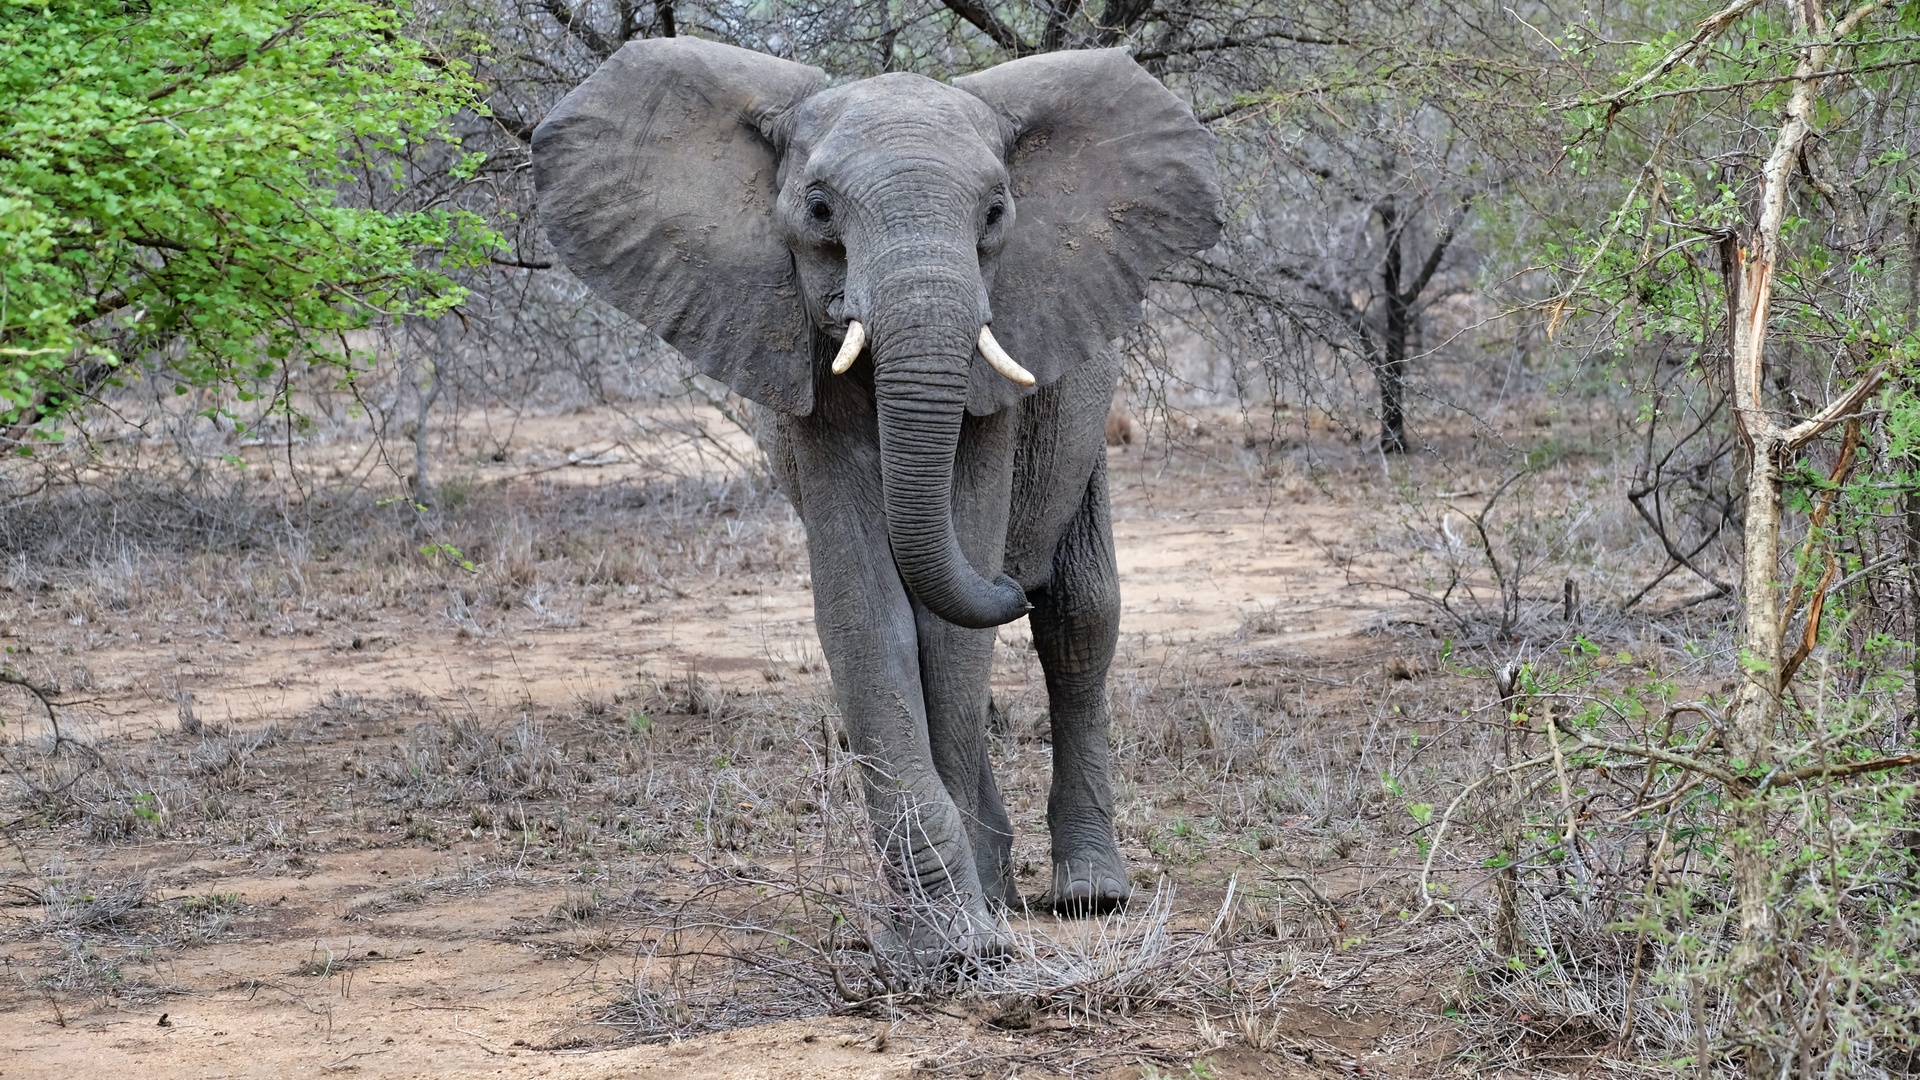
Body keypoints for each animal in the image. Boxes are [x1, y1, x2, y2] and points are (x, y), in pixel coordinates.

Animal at [533, 37, 1221, 953]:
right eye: (820, 210)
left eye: (996, 212)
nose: (1009, 581)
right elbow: (866, 606)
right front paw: (950, 938)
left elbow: (948, 618)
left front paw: (967, 934)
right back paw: (1001, 883)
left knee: (1079, 618)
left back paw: (1090, 894)